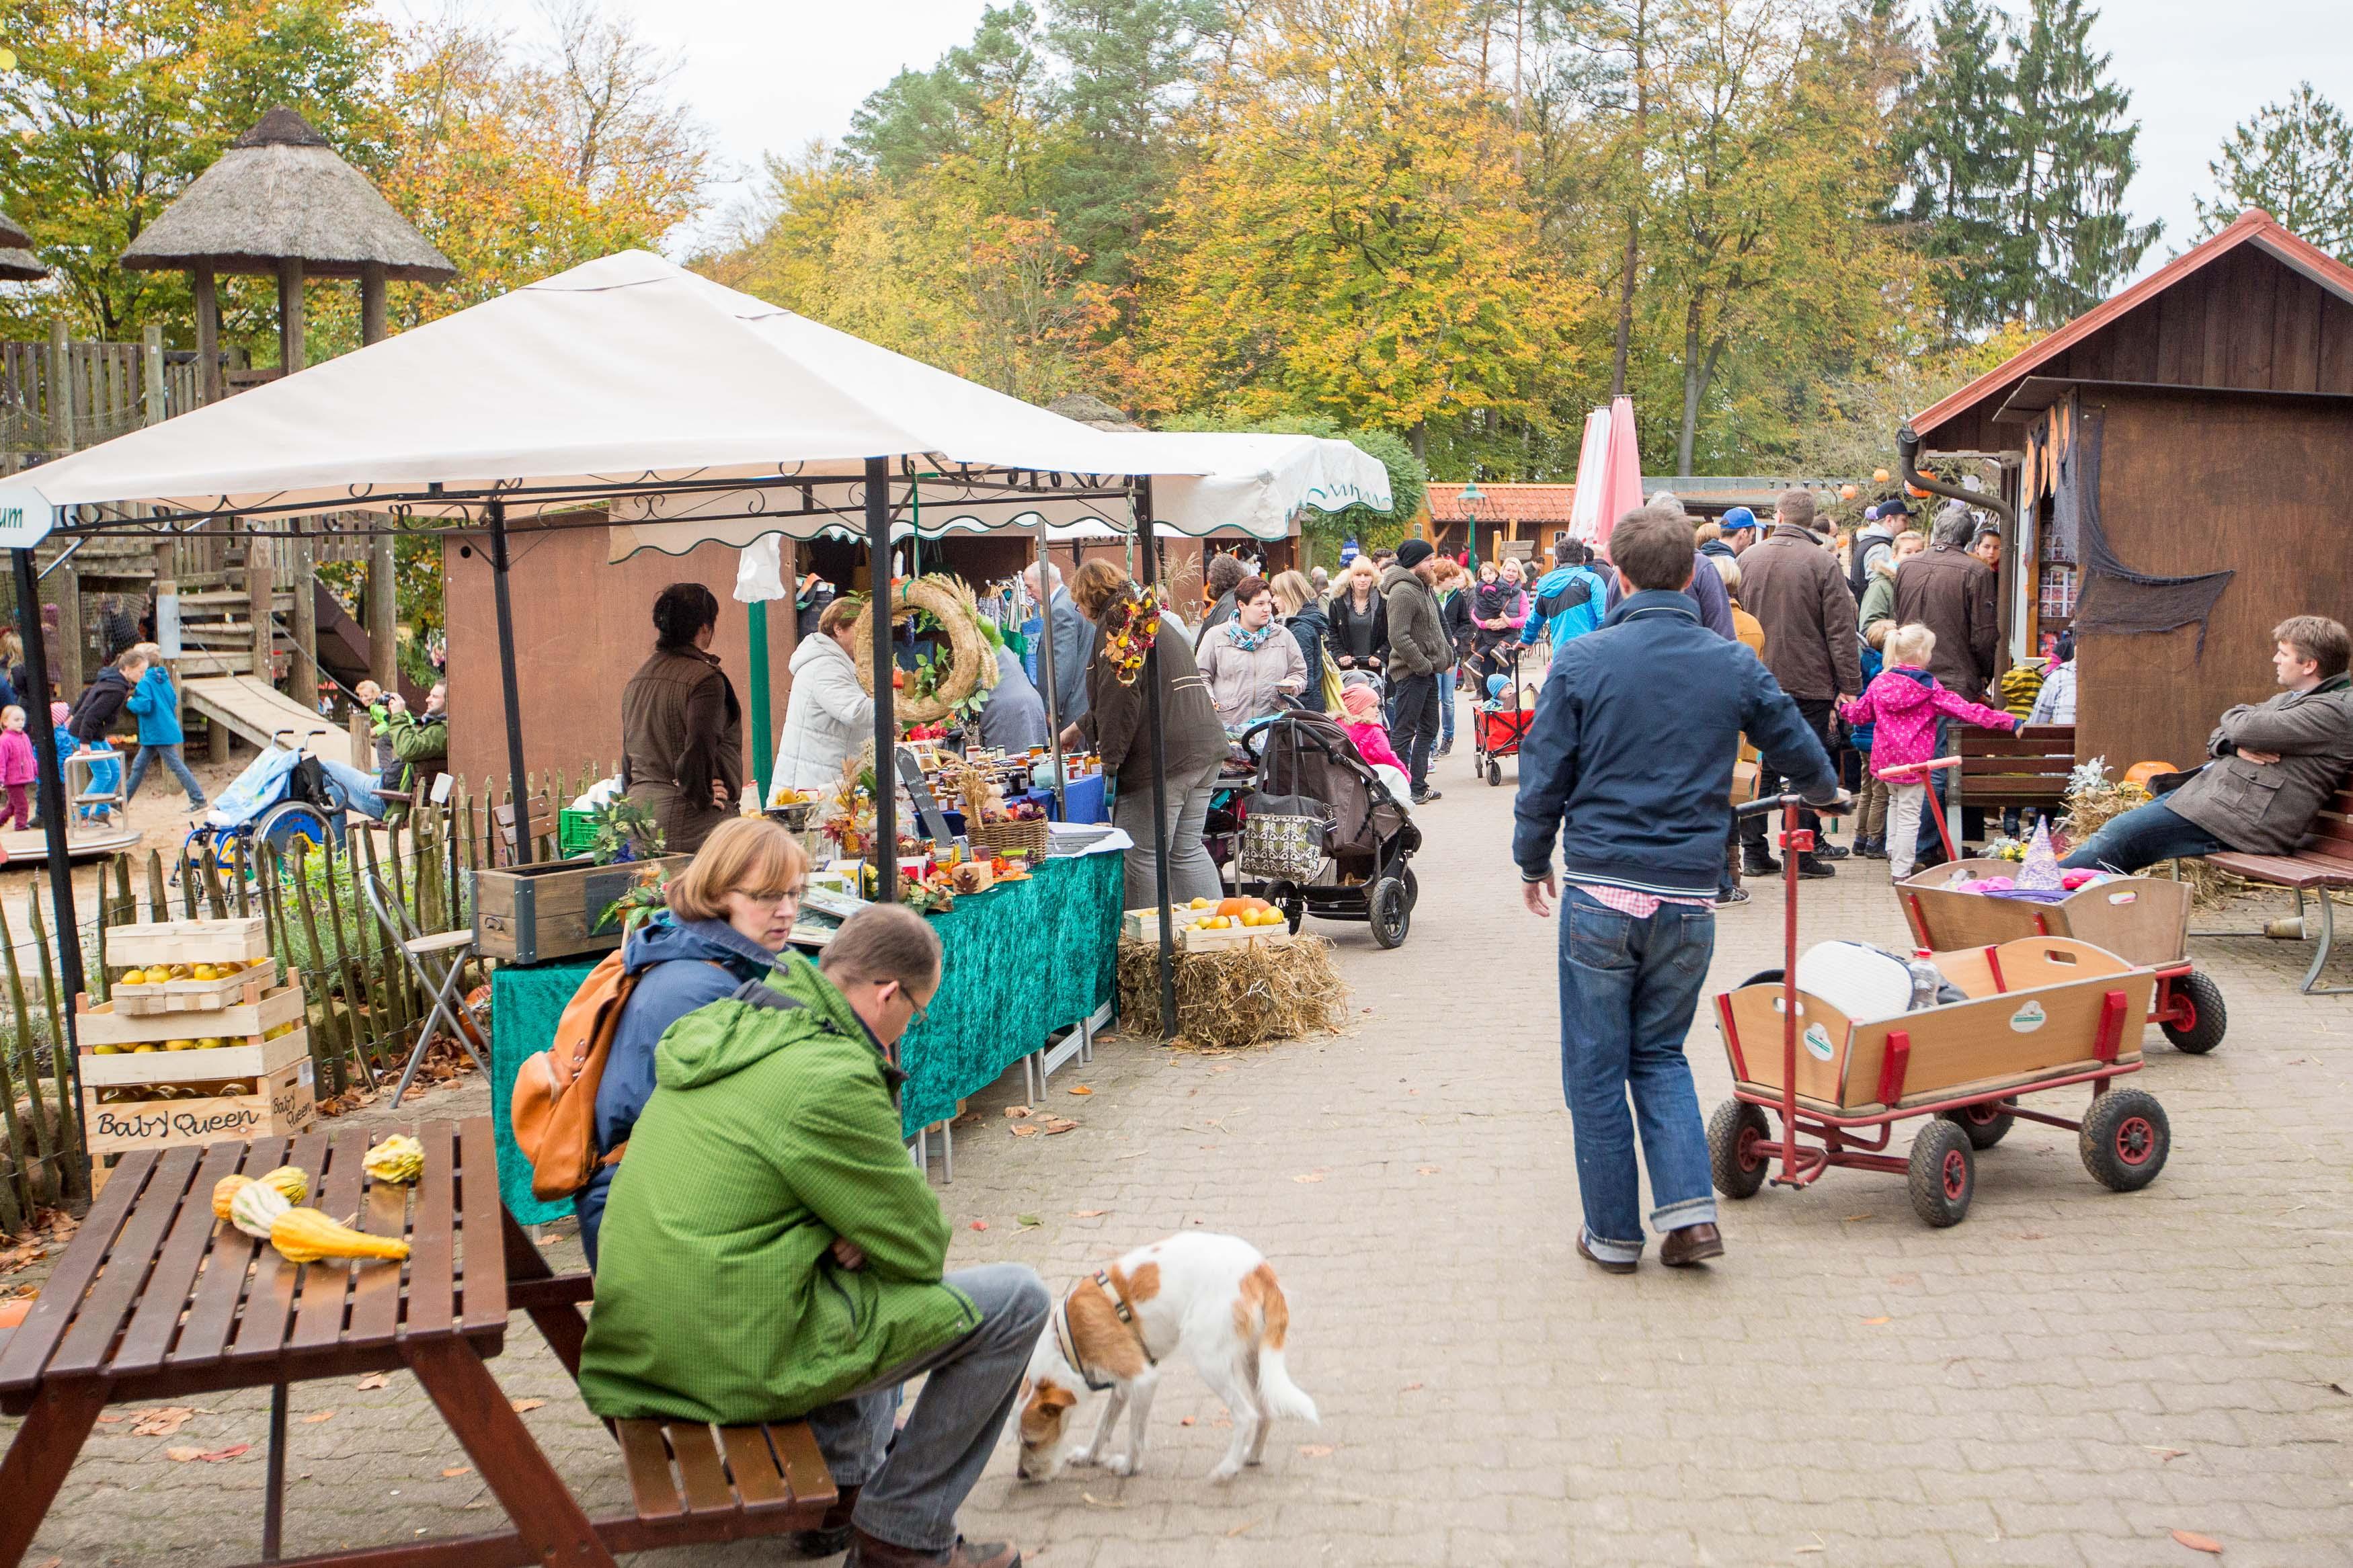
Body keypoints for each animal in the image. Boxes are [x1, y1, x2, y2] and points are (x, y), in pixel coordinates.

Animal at [1012, 1241, 1318, 1485]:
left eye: (1031, 1441)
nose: (1022, 1475)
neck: (1067, 1342)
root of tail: (1260, 1270)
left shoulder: (1143, 1380)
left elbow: (1134, 1435)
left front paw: (1129, 1467)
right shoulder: (1123, 1385)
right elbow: (1103, 1426)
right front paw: (1090, 1456)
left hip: (1210, 1360)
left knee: (1246, 1415)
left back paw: (1228, 1468)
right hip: (1253, 1359)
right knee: (1265, 1410)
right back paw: (1251, 1457)